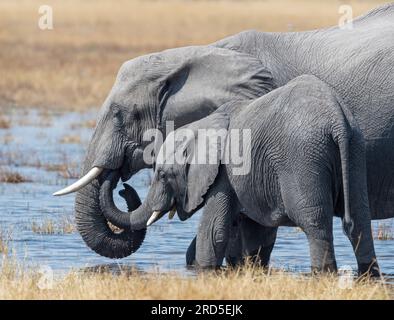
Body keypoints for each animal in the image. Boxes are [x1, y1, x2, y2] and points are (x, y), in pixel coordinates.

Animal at [101, 76, 378, 276]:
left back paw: (323, 274)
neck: (202, 126)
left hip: (303, 158)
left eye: (162, 174)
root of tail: (336, 117)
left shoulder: (222, 174)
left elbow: (214, 230)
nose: (123, 187)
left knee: (314, 223)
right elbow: (257, 234)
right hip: (354, 150)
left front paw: (204, 272)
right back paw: (368, 276)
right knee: (359, 221)